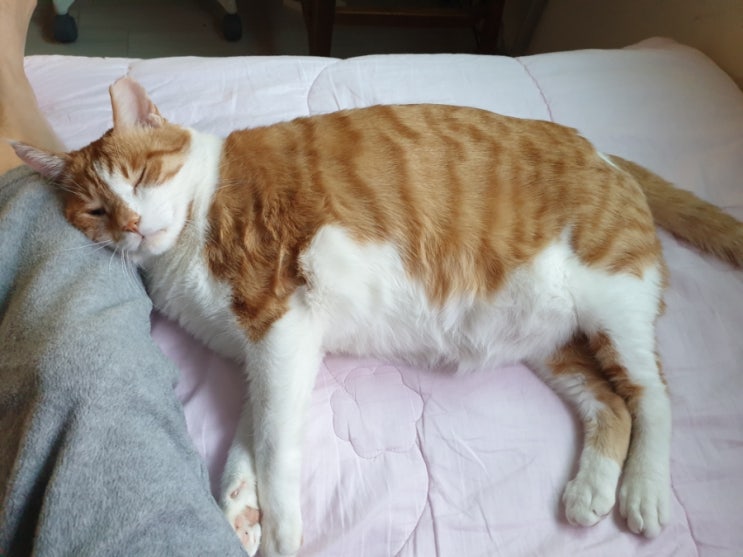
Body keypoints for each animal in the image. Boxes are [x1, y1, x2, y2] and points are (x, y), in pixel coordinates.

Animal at [13, 76, 743, 557]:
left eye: (140, 177)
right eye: (95, 210)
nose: (133, 226)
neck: (192, 228)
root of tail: (606, 154)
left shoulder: (278, 326)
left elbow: (274, 442)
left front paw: (280, 528)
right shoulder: (269, 350)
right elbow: (253, 433)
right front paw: (241, 508)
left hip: (611, 298)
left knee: (652, 395)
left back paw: (643, 492)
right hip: (554, 342)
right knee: (609, 403)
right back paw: (591, 488)